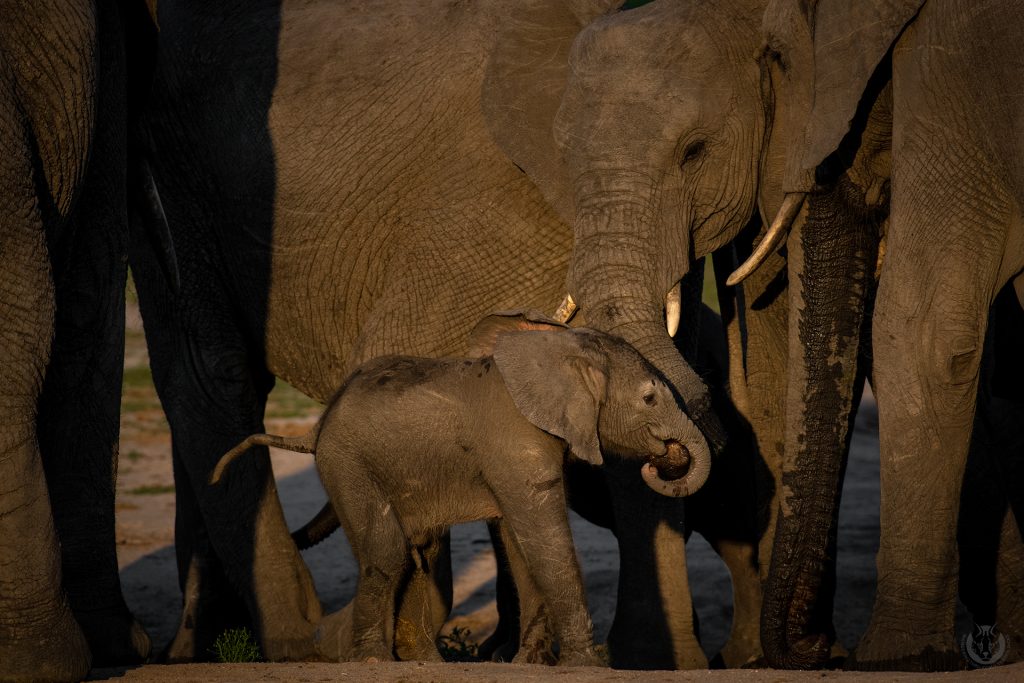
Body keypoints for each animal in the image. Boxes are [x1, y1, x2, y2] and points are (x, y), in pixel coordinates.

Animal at [210, 316, 707, 665]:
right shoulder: (514, 440)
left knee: (418, 551)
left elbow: (521, 542)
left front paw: (527, 664)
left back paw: (426, 663)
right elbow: (541, 538)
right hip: (346, 463)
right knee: (388, 548)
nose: (665, 457)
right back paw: (372, 661)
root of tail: (316, 428)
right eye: (649, 399)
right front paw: (584, 665)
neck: (559, 350)